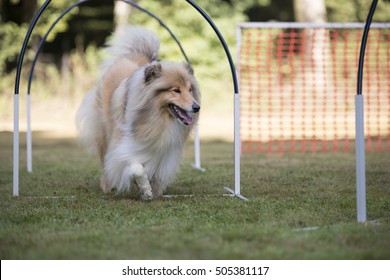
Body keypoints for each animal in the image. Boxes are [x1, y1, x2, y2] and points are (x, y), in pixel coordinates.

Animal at [75, 25, 201, 199]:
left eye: (190, 90)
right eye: (176, 90)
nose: (196, 107)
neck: (158, 118)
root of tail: (135, 54)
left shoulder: (162, 149)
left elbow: (154, 170)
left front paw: (153, 189)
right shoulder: (122, 146)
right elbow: (136, 168)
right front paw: (145, 189)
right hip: (103, 134)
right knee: (103, 162)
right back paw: (107, 187)